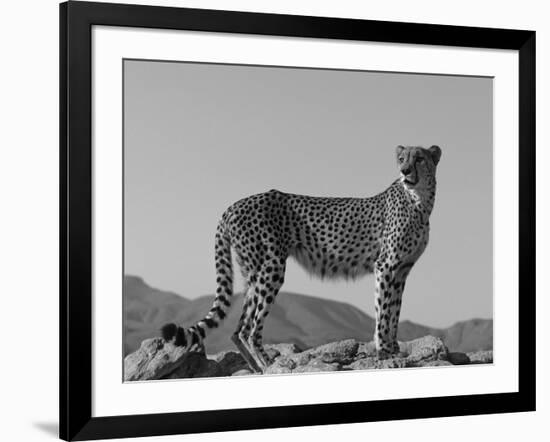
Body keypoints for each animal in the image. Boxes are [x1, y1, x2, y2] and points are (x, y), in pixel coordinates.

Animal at [164, 145, 444, 372]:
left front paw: (393, 347)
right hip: (271, 267)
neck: (419, 201)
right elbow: (383, 310)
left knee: (239, 330)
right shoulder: (385, 266)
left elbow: (394, 309)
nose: (405, 171)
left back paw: (256, 367)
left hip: (252, 273)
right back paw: (269, 364)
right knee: (251, 329)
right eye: (401, 159)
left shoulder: (402, 270)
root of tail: (234, 205)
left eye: (419, 158)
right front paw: (384, 351)